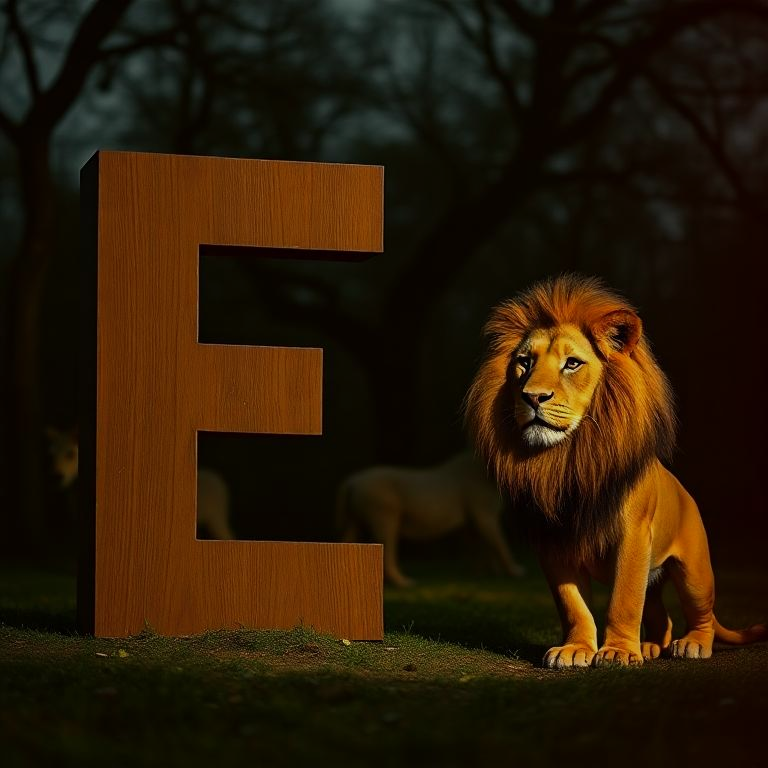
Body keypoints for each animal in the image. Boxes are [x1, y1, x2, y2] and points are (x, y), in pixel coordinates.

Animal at [336, 453, 525, 587]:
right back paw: (404, 583)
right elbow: (500, 543)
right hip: (384, 517)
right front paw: (514, 572)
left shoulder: (472, 521)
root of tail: (352, 481)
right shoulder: (484, 514)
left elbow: (482, 546)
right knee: (387, 550)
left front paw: (485, 574)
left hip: (355, 521)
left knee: (348, 540)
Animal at [464, 274, 767, 667]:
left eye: (572, 364)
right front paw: (576, 649)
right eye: (524, 362)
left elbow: (624, 600)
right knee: (660, 615)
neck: (567, 458)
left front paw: (618, 652)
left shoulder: (633, 534)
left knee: (700, 612)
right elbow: (573, 604)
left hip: (694, 571)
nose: (532, 397)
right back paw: (652, 646)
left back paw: (692, 644)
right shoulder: (553, 542)